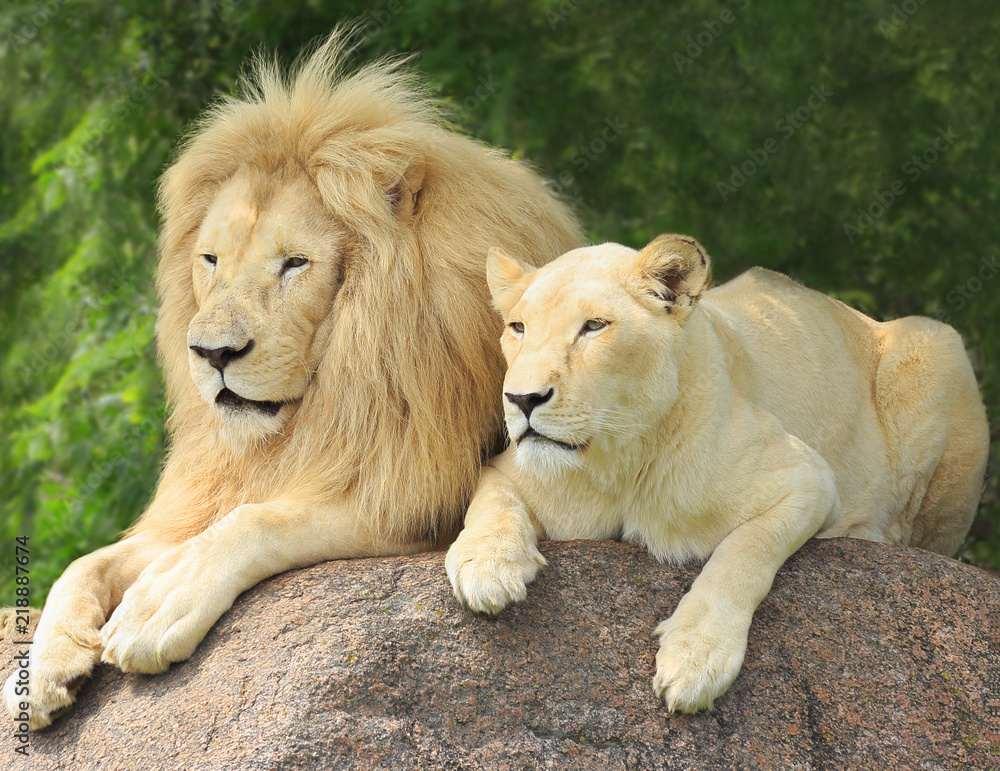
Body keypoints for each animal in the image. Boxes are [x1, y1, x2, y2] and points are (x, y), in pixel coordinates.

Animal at [3, 33, 583, 730]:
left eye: (295, 263)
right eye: (210, 260)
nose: (213, 353)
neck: (323, 399)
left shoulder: (412, 492)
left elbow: (258, 522)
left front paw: (159, 603)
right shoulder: (227, 485)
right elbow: (88, 561)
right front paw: (43, 664)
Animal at [445, 234, 989, 713]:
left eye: (594, 326)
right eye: (518, 327)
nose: (521, 399)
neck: (620, 461)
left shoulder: (808, 477)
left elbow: (741, 553)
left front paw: (696, 657)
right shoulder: (508, 466)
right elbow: (490, 503)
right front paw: (487, 568)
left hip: (935, 344)